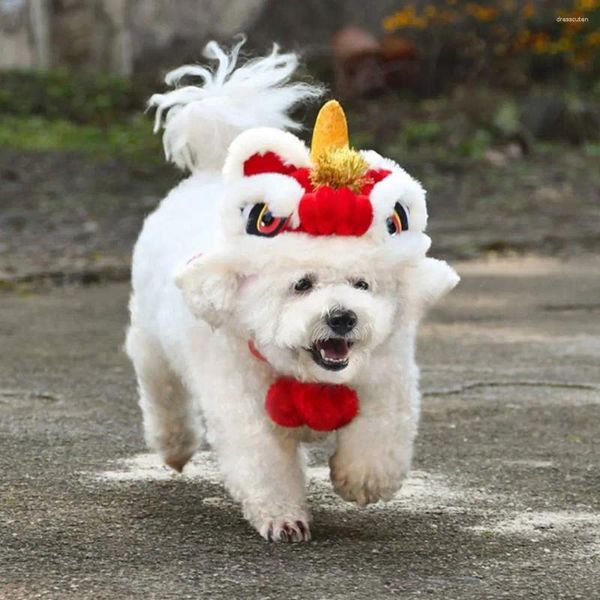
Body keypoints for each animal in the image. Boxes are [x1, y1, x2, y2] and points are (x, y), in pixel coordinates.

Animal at [124, 39, 458, 540]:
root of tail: (212, 171)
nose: (342, 317)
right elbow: (263, 463)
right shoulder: (242, 404)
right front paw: (284, 517)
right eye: (302, 284)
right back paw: (174, 445)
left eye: (362, 284)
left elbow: (380, 434)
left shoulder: (387, 378)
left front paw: (363, 479)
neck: (310, 377)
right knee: (162, 393)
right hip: (152, 344)